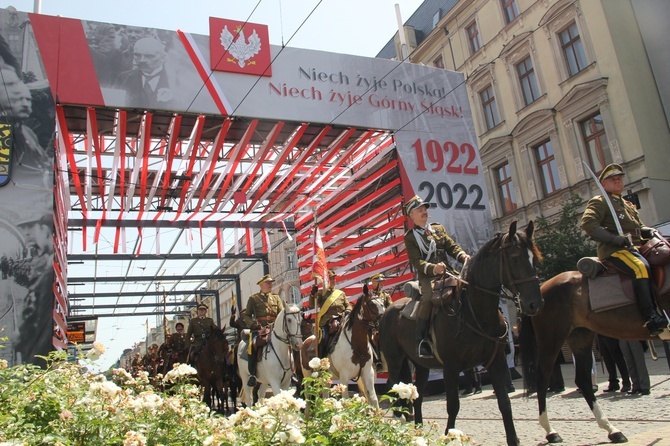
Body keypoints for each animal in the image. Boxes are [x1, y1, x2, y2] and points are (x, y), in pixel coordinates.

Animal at [380, 220, 544, 446]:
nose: (534, 303)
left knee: (418, 394)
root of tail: (388, 310)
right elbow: (453, 405)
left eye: (534, 258)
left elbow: (504, 403)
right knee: (393, 390)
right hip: (395, 361)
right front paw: (448, 435)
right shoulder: (451, 366)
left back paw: (418, 430)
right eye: (515, 258)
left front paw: (514, 439)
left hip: (421, 365)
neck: (473, 310)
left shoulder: (496, 362)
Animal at [524, 262, 670, 442]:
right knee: (543, 379)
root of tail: (541, 288)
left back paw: (612, 429)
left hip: (580, 337)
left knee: (583, 380)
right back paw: (551, 431)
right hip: (551, 340)